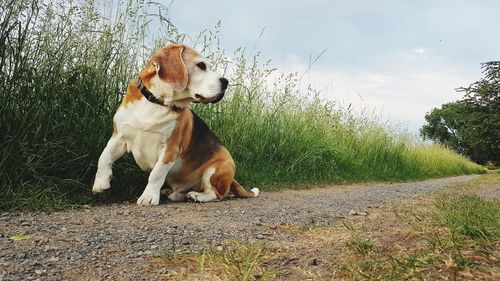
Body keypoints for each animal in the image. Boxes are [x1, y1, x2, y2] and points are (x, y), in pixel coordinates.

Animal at [91, 44, 260, 206]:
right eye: (201, 65)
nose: (226, 82)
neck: (157, 101)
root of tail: (232, 177)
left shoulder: (169, 149)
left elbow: (156, 174)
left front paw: (149, 197)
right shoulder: (119, 136)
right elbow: (103, 157)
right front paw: (101, 182)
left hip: (215, 170)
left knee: (217, 194)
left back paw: (197, 196)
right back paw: (172, 193)